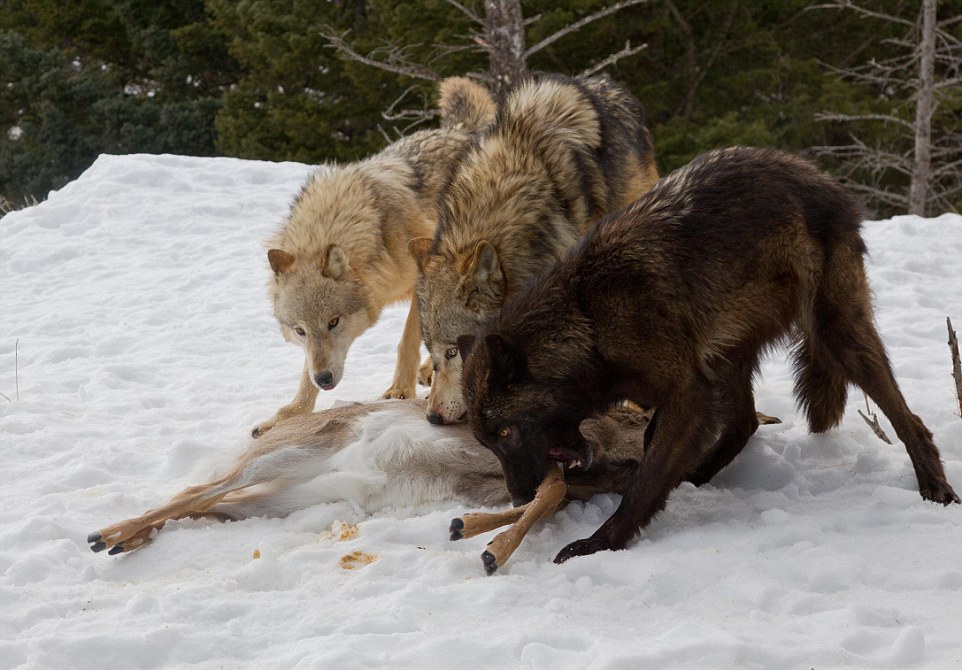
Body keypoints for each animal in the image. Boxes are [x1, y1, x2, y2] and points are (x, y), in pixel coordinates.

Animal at [255, 76, 496, 438]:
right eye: (300, 331)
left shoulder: (422, 282)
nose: (324, 379)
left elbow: (408, 341)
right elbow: (304, 375)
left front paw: (399, 391)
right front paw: (288, 415)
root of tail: (460, 130)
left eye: (334, 322)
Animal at [462, 147, 956, 568]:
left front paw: (599, 542)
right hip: (729, 358)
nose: (518, 497)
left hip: (838, 336)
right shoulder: (685, 387)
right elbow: (647, 457)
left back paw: (936, 488)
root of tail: (822, 178)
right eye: (488, 441)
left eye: (505, 432)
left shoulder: (688, 392)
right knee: (745, 423)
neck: (588, 318)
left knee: (909, 420)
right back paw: (694, 476)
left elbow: (645, 480)